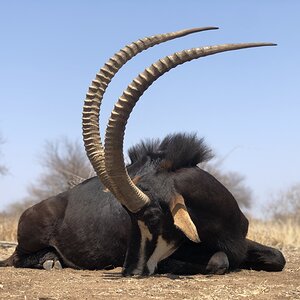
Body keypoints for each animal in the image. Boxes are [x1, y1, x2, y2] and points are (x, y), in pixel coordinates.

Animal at [0, 27, 286, 276]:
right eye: (127, 216)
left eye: (153, 216)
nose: (130, 270)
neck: (218, 219)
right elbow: (219, 259)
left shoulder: (243, 242)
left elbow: (278, 257)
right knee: (17, 258)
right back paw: (50, 260)